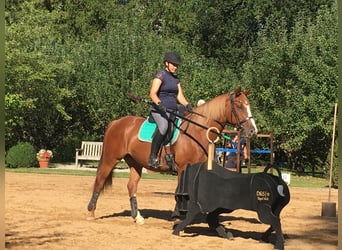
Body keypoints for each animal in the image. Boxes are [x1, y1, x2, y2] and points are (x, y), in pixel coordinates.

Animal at [87, 87, 258, 224]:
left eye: (248, 105)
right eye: (239, 105)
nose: (252, 131)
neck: (197, 131)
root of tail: (116, 122)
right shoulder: (183, 167)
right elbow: (180, 191)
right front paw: (177, 216)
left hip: (135, 163)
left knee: (131, 186)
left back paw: (137, 217)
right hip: (111, 159)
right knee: (99, 181)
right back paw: (91, 212)